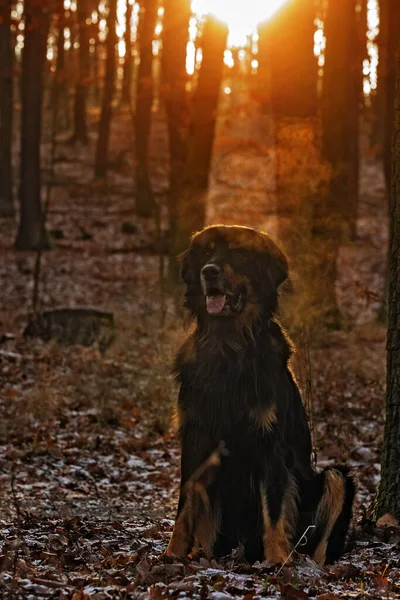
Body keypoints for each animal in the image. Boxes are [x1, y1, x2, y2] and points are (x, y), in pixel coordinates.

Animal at [166, 224, 356, 564]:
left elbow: (275, 506)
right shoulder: (196, 436)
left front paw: (278, 559)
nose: (209, 271)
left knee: (321, 539)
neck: (228, 347)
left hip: (336, 479)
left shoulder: (269, 440)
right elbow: (185, 503)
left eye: (239, 253)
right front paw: (172, 553)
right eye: (207, 252)